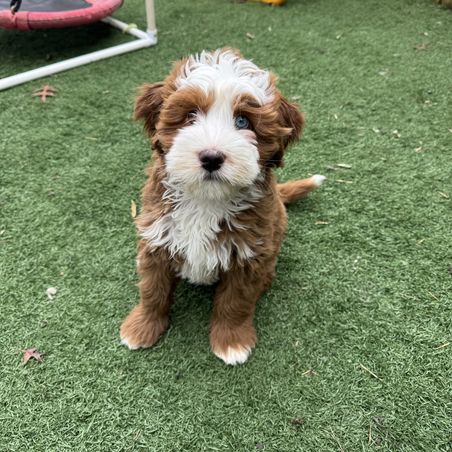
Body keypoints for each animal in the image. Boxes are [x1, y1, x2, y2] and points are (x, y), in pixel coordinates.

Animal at [120, 48, 325, 365]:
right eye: (190, 115)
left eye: (243, 122)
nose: (212, 157)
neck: (206, 199)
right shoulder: (156, 238)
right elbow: (152, 289)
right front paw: (141, 327)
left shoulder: (249, 254)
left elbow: (235, 302)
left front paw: (232, 343)